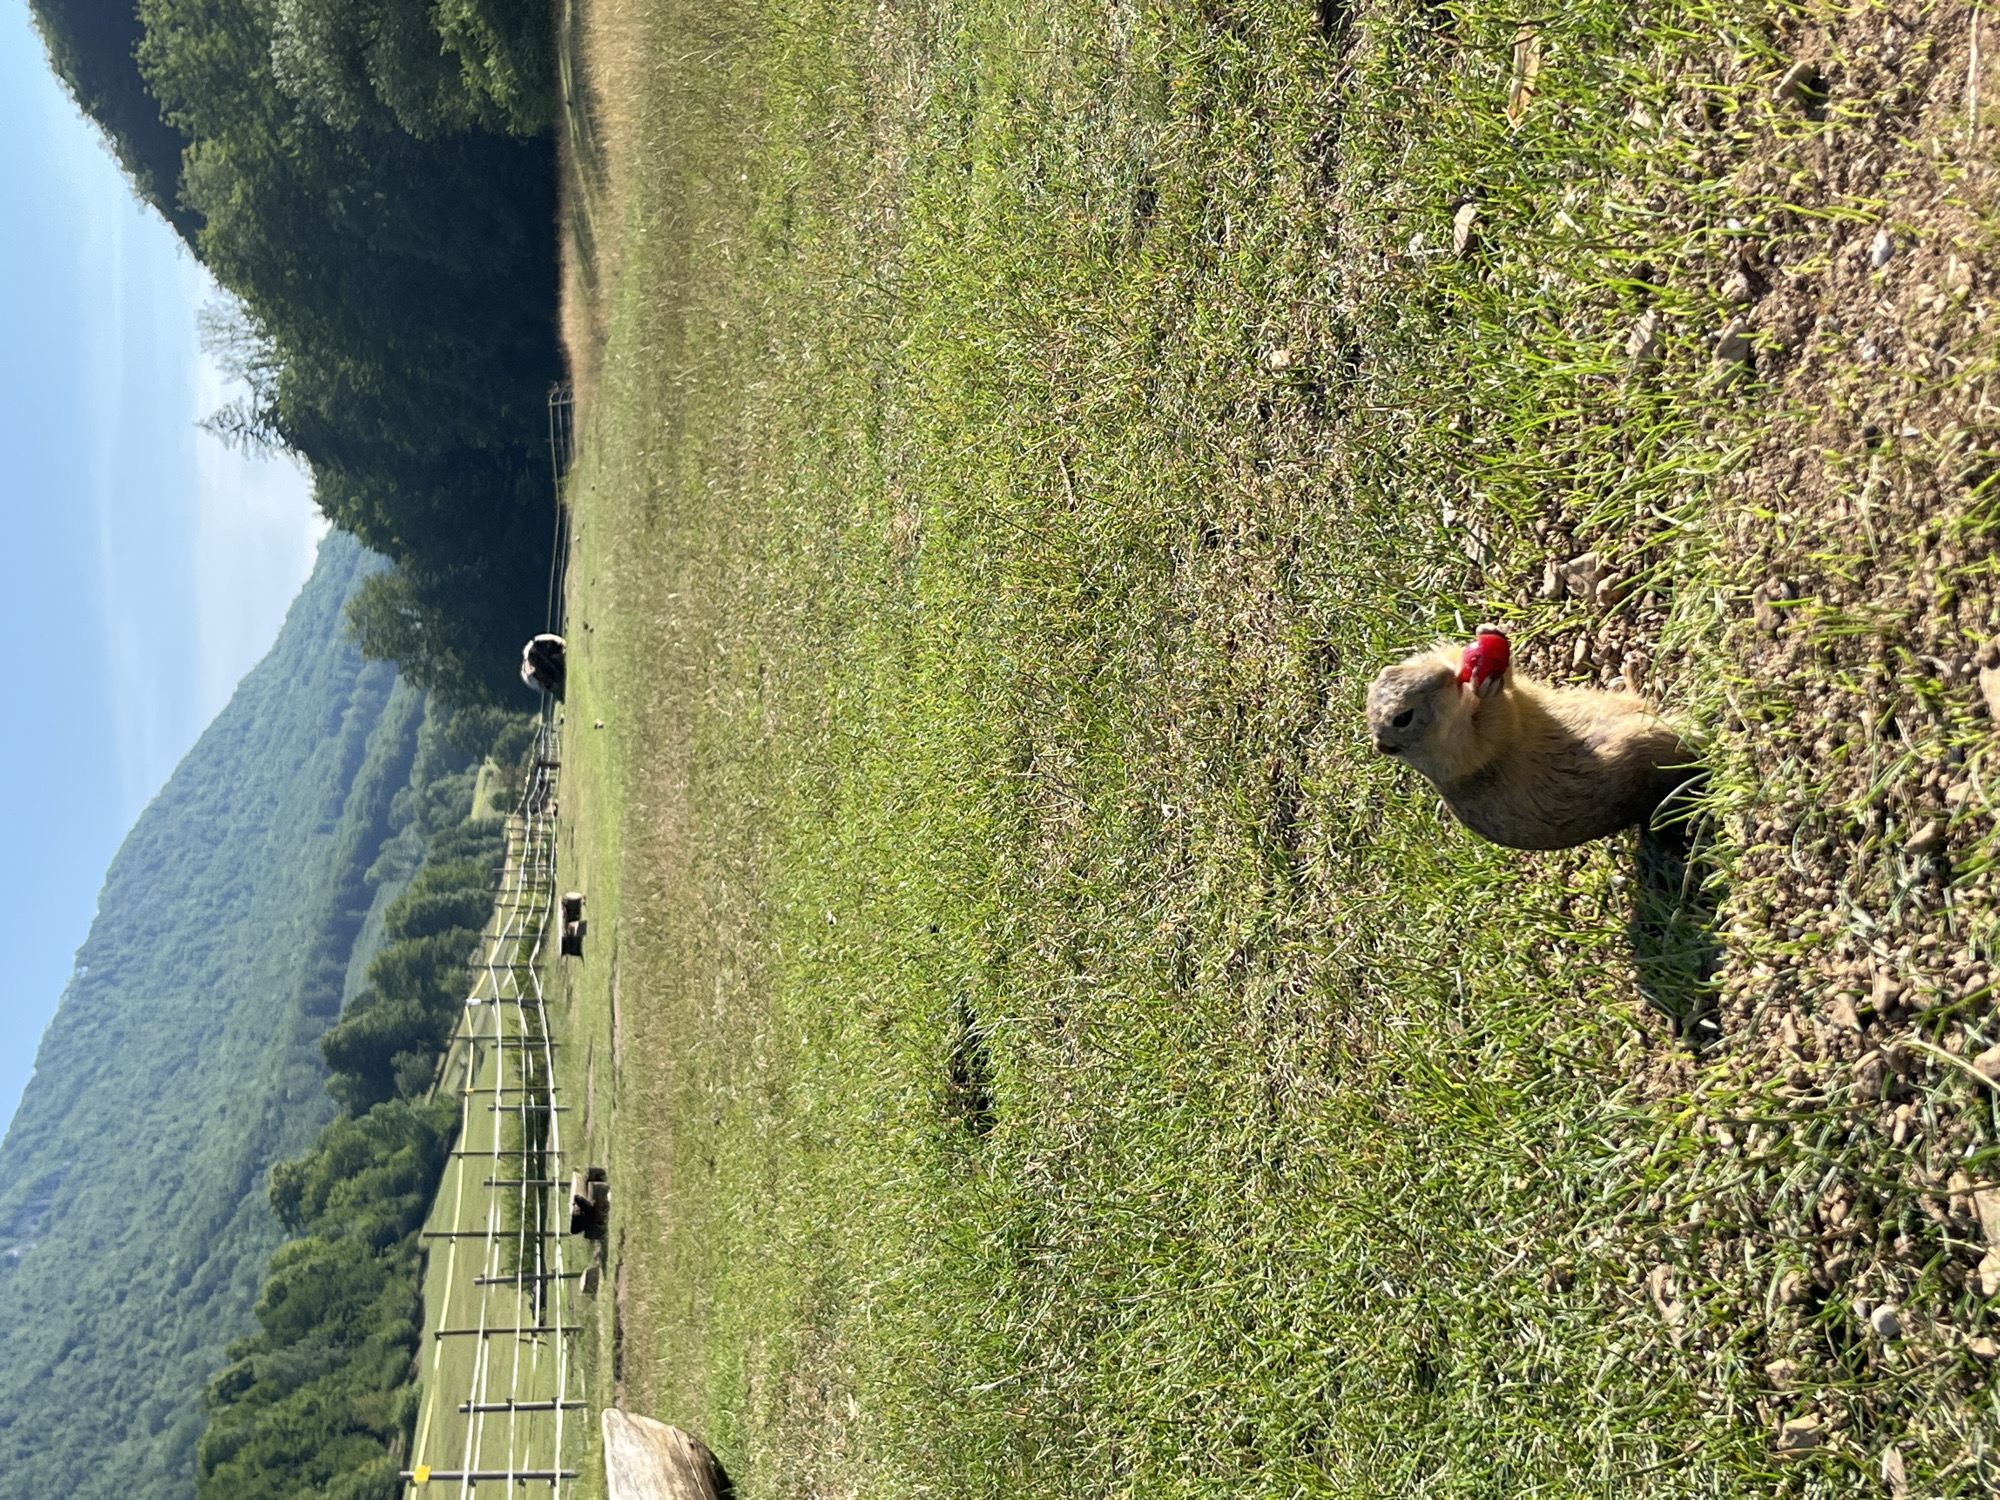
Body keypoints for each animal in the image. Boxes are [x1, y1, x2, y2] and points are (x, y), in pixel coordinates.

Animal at [1365, 626, 1696, 850]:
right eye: (1402, 718)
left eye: (1391, 670)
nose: (1446, 674)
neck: (1462, 704)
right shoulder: (1463, 754)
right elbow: (1496, 725)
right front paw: (1485, 686)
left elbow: (1514, 687)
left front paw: (1487, 632)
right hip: (1645, 741)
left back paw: (1631, 673)